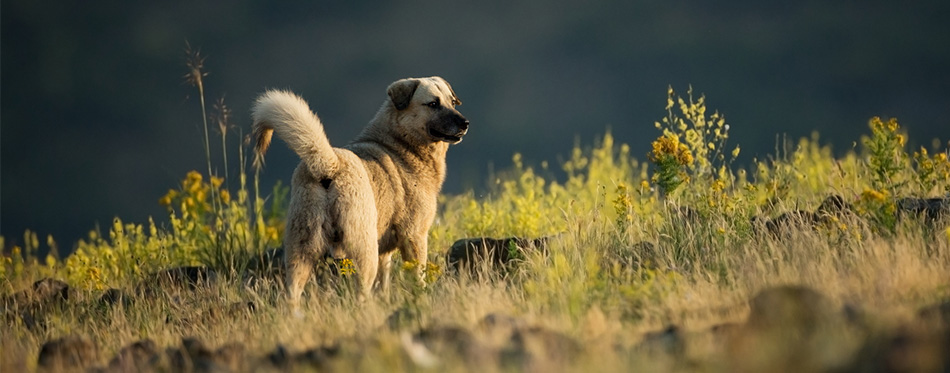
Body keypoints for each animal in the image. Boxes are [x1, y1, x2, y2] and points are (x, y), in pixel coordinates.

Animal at [253, 75, 468, 306]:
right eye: (433, 104)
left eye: (452, 102)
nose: (465, 123)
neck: (400, 146)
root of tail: (330, 165)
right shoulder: (414, 236)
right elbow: (418, 277)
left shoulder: (385, 253)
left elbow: (384, 284)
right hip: (363, 251)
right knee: (361, 293)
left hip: (300, 252)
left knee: (291, 295)